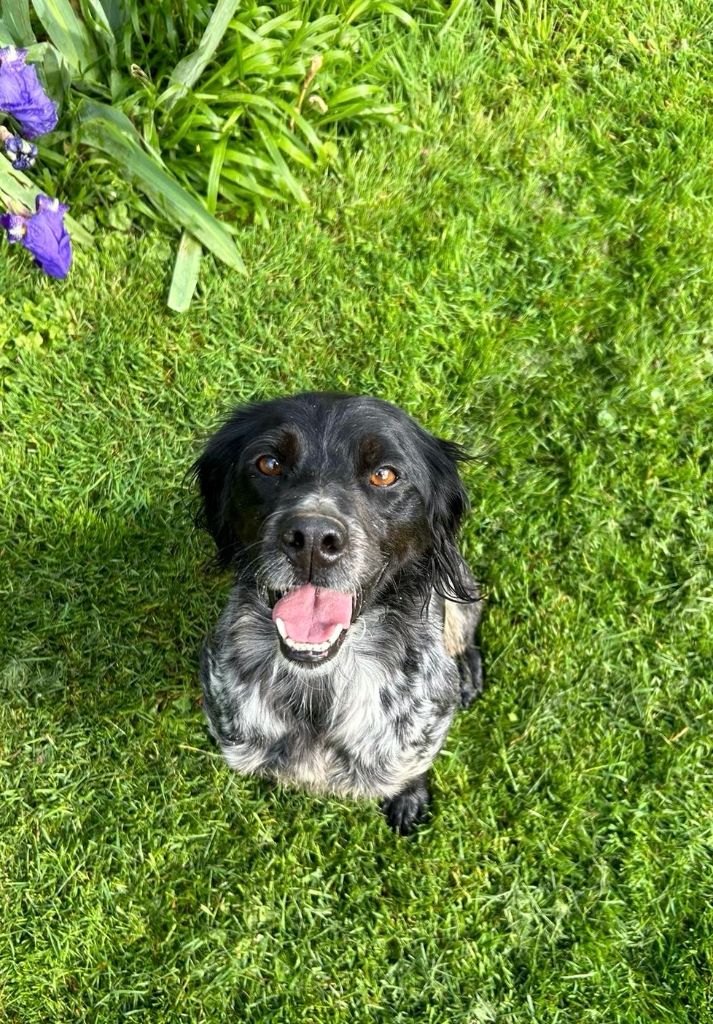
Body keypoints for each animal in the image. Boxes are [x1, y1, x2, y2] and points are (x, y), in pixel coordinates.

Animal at [194, 391, 485, 831]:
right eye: (269, 464)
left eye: (384, 474)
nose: (313, 538)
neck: (320, 689)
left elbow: (412, 767)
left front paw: (408, 796)